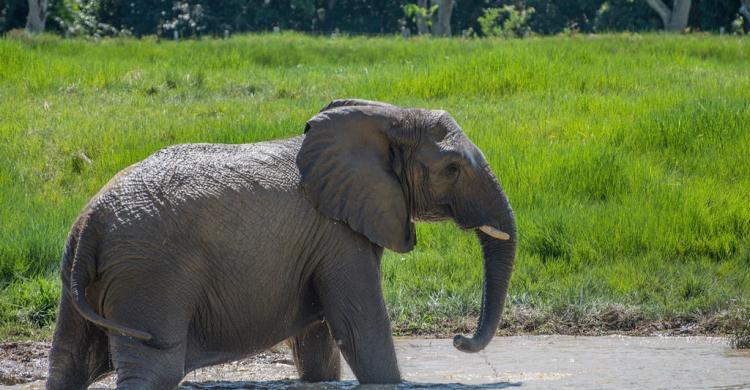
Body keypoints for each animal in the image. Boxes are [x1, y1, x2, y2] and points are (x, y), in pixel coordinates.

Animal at [47, 99, 516, 388]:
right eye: (452, 168)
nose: (459, 341)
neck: (386, 115)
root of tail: (91, 224)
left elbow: (319, 341)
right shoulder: (335, 233)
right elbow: (361, 328)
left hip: (83, 273)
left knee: (67, 361)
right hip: (150, 276)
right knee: (153, 368)